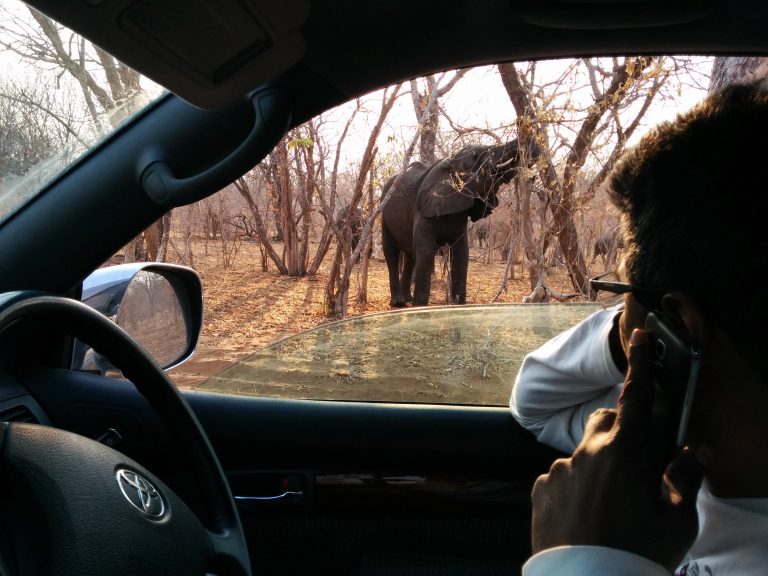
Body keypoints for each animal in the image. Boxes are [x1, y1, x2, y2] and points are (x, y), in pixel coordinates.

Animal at [381, 139, 522, 306]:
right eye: (475, 157)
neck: (449, 161)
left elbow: (461, 252)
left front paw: (458, 306)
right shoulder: (422, 210)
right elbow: (426, 250)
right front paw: (420, 308)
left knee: (410, 256)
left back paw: (407, 299)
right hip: (383, 209)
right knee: (391, 252)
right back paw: (399, 303)